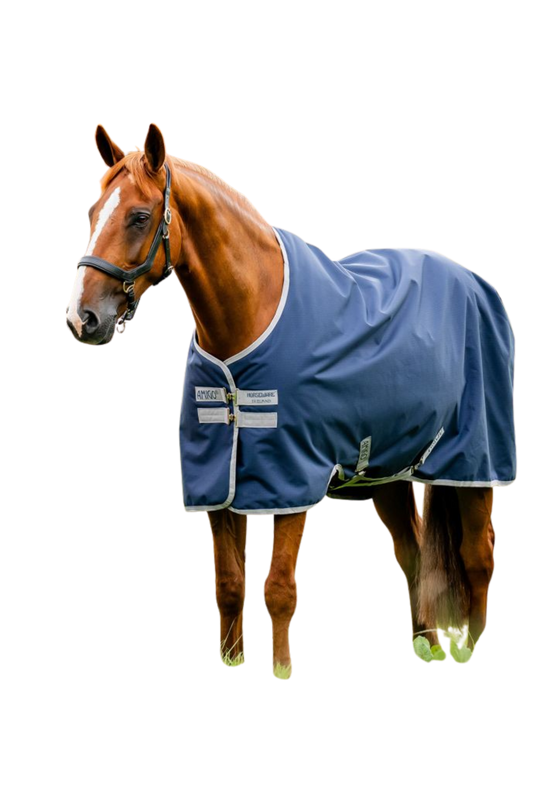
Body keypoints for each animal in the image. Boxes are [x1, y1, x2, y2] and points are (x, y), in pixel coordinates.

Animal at [65, 120, 518, 678]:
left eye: (139, 216)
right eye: (91, 213)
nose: (81, 318)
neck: (249, 318)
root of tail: (475, 282)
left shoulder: (292, 478)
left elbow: (278, 587)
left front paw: (281, 668)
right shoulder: (219, 484)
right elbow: (229, 586)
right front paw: (232, 659)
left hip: (475, 462)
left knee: (478, 558)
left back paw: (466, 647)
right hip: (385, 474)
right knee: (412, 555)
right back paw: (427, 642)